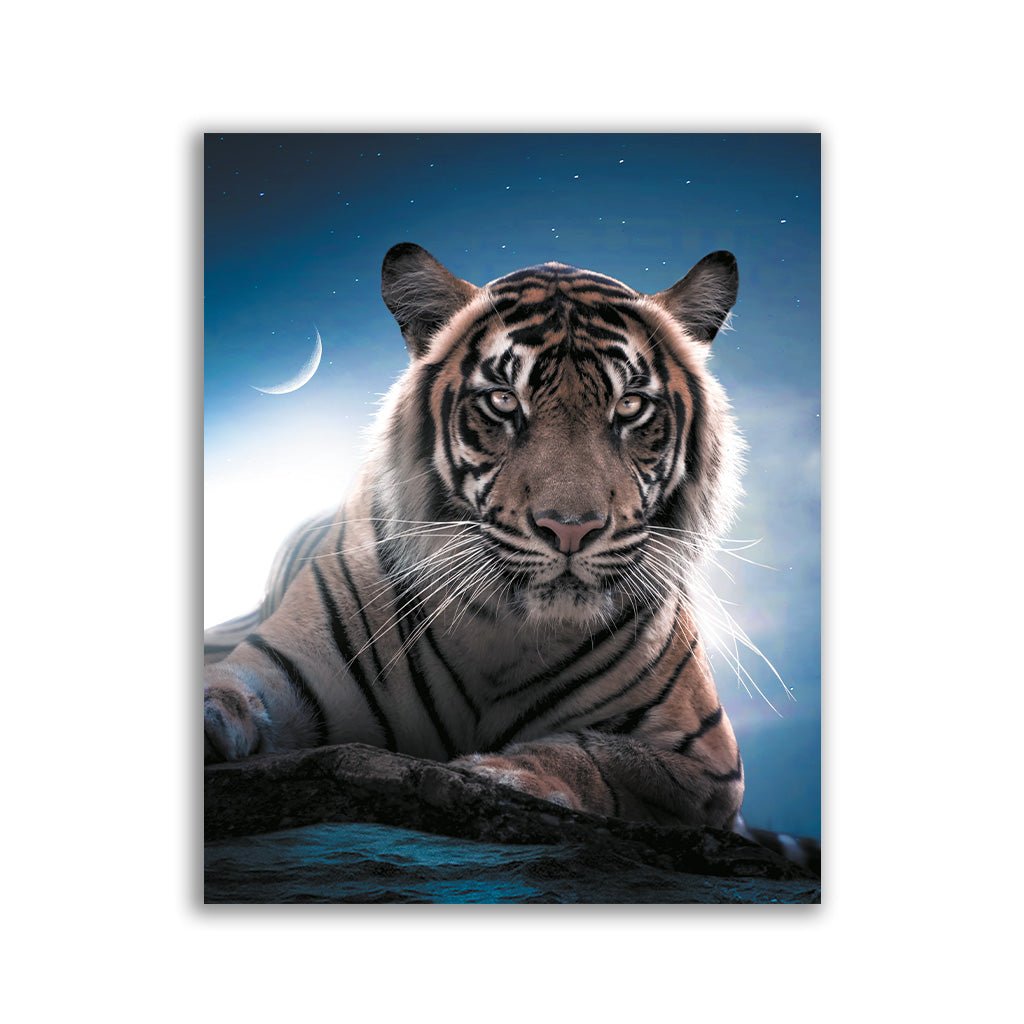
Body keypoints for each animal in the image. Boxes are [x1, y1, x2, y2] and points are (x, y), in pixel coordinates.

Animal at [204, 242, 817, 871]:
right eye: (503, 401)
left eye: (629, 406)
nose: (570, 528)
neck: (501, 630)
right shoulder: (279, 672)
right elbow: (223, 690)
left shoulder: (705, 761)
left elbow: (597, 756)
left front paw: (496, 773)